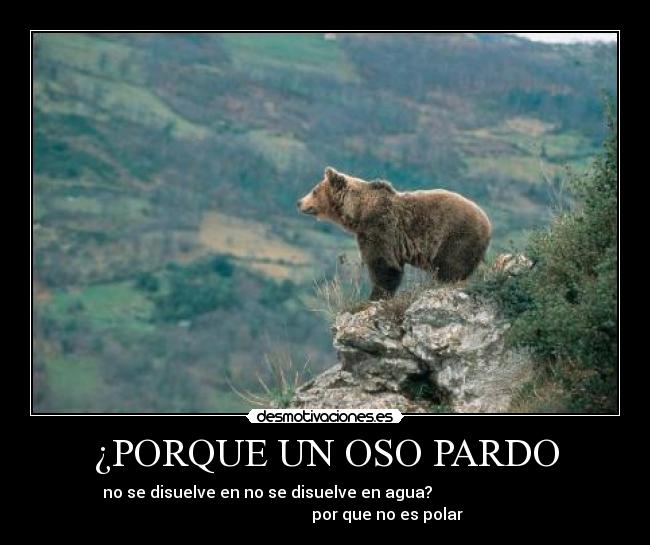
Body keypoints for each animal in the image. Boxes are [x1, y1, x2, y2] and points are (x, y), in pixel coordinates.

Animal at [297, 167, 491, 300]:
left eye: (314, 190)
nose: (299, 202)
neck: (358, 212)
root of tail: (487, 223)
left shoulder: (380, 228)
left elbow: (384, 265)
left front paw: (374, 297)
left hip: (456, 236)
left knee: (451, 267)